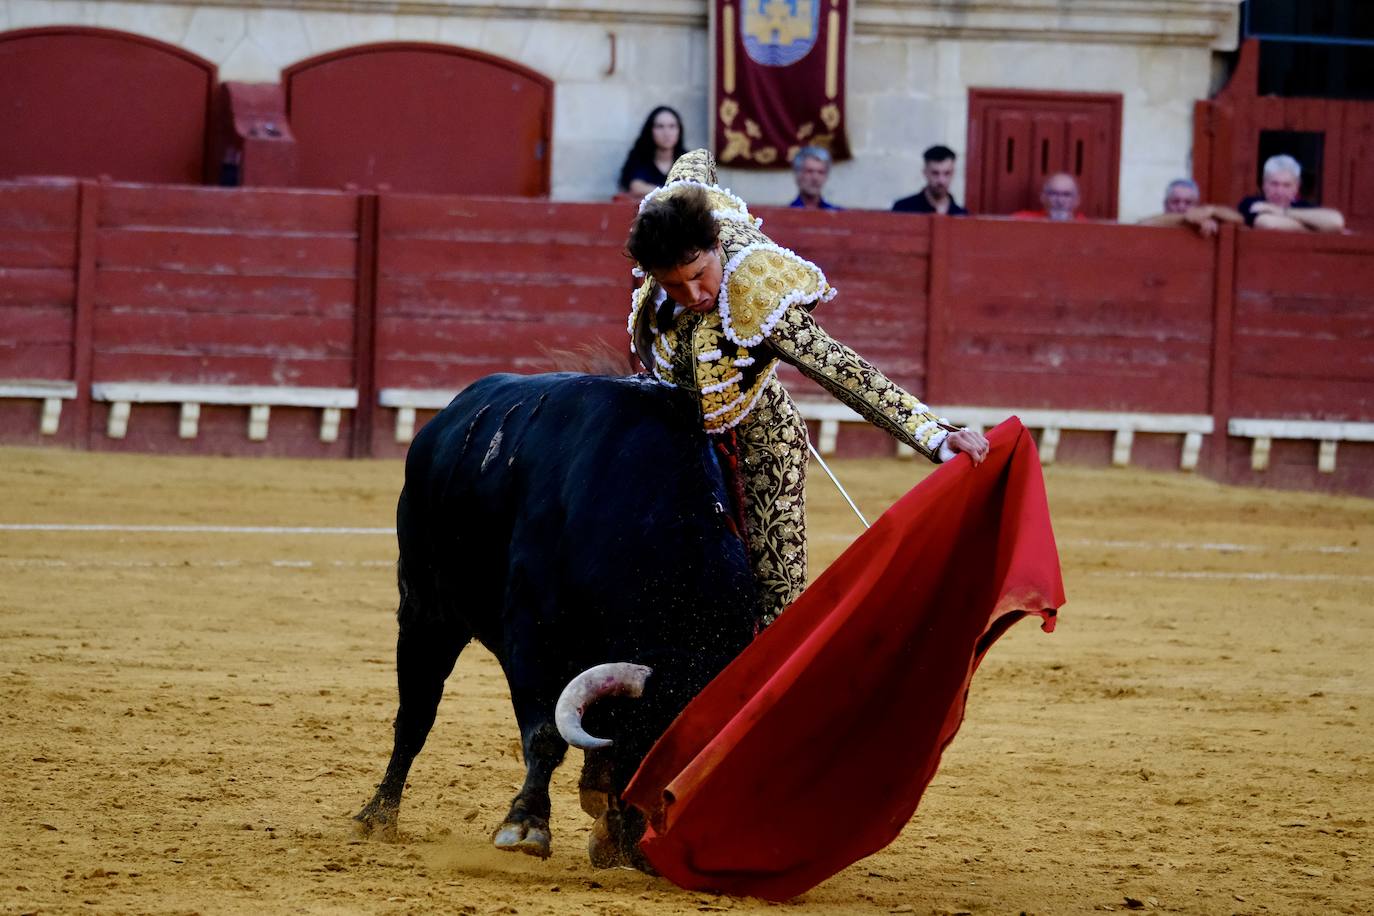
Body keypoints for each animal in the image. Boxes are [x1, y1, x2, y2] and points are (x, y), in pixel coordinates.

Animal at [354, 373, 763, 867]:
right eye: (646, 738)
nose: (648, 853)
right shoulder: (533, 639)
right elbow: (546, 734)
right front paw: (525, 826)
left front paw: (604, 828)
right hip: (425, 610)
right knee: (415, 713)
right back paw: (377, 817)